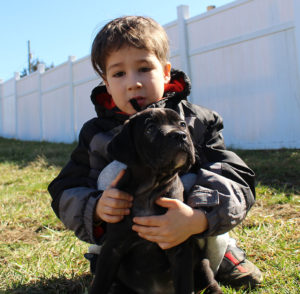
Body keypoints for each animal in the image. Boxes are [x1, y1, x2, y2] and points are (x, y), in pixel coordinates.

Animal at [89, 108, 223, 294]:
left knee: (211, 282)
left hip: (202, 265)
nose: (180, 135)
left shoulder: (180, 249)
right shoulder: (112, 247)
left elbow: (185, 285)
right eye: (150, 128)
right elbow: (100, 282)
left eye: (182, 124)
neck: (150, 189)